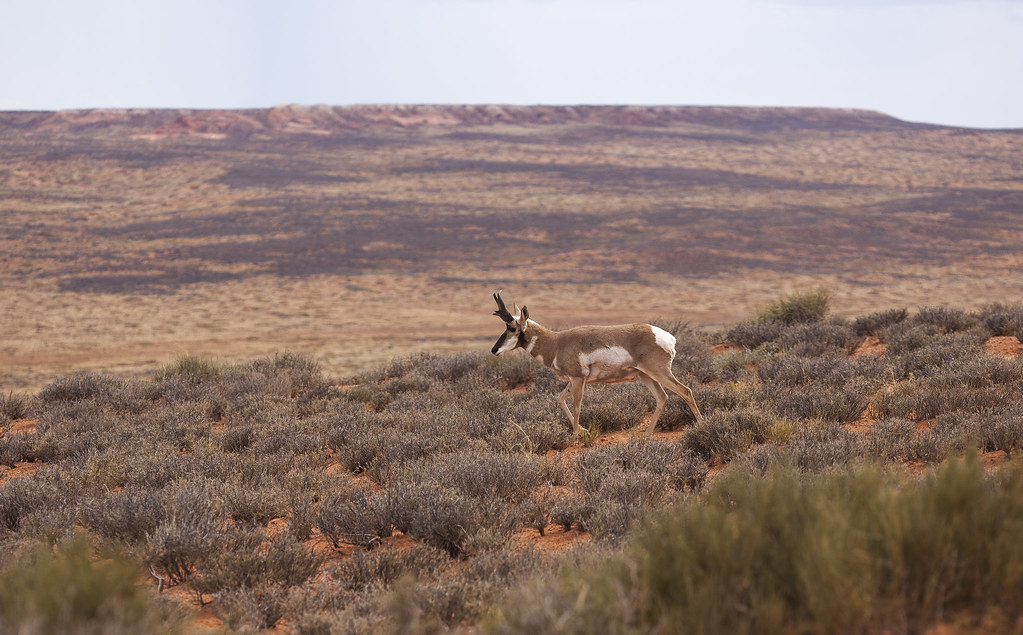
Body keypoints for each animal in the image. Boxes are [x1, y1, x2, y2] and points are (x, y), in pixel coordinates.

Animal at [490, 291, 704, 436]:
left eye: (511, 328)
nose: (494, 350)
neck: (557, 342)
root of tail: (667, 337)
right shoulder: (574, 381)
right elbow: (560, 400)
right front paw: (582, 430)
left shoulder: (578, 379)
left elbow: (577, 406)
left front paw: (575, 435)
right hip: (646, 376)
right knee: (662, 398)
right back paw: (646, 434)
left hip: (658, 373)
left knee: (685, 391)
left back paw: (703, 425)